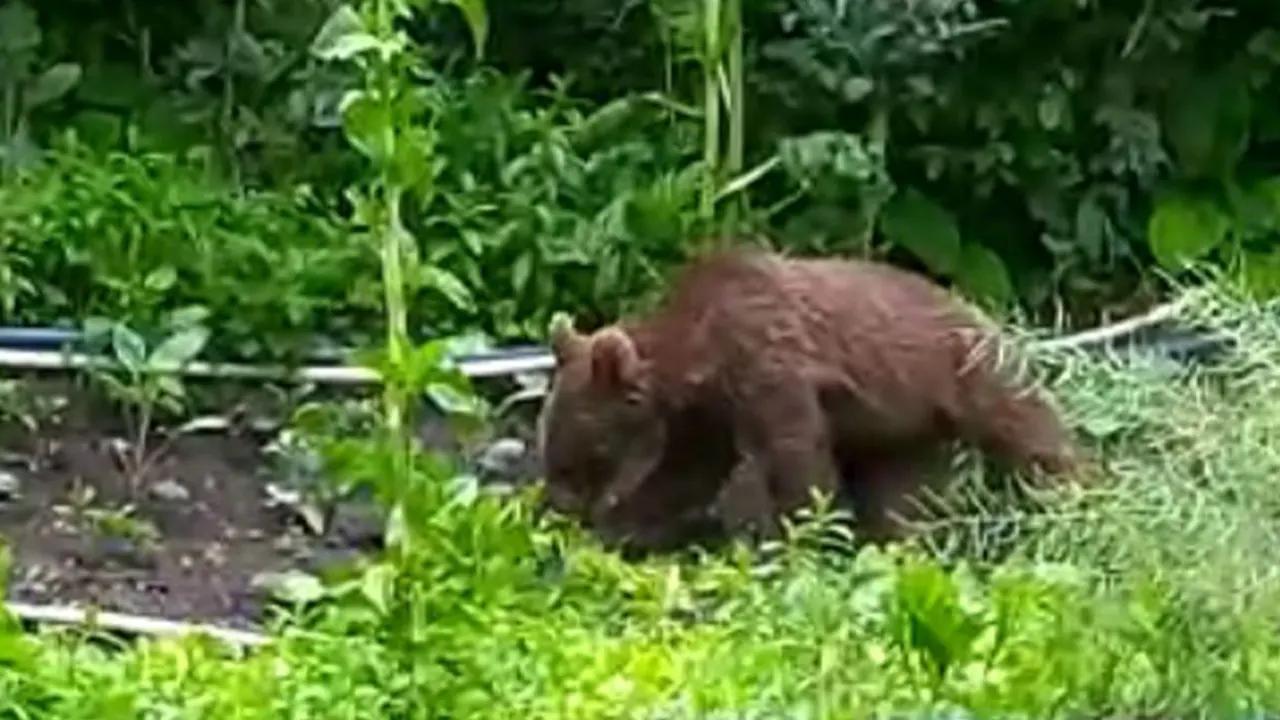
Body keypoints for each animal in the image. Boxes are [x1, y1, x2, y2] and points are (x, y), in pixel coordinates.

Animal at [535, 245, 1085, 548]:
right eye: (550, 438)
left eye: (581, 449)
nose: (557, 504)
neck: (701, 356)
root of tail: (987, 312)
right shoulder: (708, 415)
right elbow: (683, 474)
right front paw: (624, 530)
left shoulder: (770, 367)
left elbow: (796, 462)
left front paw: (798, 538)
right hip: (901, 429)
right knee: (903, 494)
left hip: (965, 371)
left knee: (1029, 432)